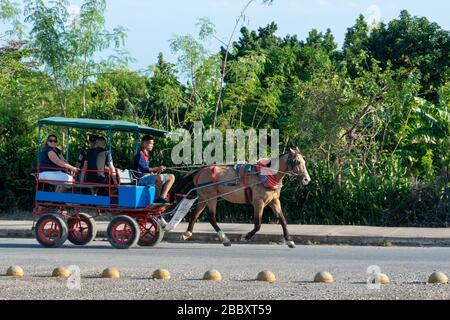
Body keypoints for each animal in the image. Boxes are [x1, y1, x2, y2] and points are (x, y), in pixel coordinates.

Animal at [171, 146, 312, 249]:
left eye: (304, 162)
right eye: (297, 162)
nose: (307, 179)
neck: (266, 175)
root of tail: (200, 171)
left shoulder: (274, 201)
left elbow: (283, 220)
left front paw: (289, 240)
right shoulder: (258, 202)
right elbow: (258, 225)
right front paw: (246, 236)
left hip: (203, 197)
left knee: (195, 214)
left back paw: (187, 233)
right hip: (211, 197)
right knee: (211, 217)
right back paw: (224, 238)